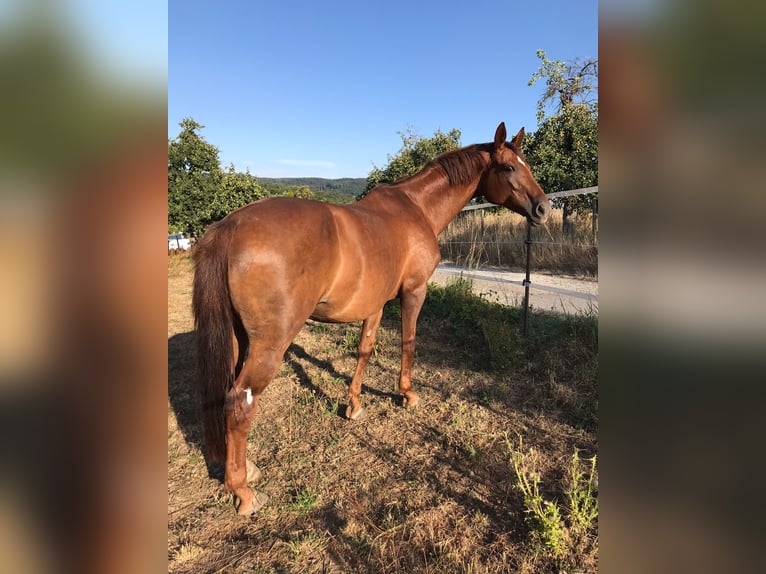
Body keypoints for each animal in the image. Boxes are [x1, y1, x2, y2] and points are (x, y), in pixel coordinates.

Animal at [192, 122, 551, 516]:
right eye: (509, 167)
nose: (543, 208)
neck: (416, 209)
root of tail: (231, 225)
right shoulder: (414, 292)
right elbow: (408, 342)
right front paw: (407, 395)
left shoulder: (375, 304)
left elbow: (364, 349)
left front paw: (354, 405)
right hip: (270, 345)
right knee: (240, 403)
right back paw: (243, 492)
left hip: (241, 338)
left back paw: (247, 469)